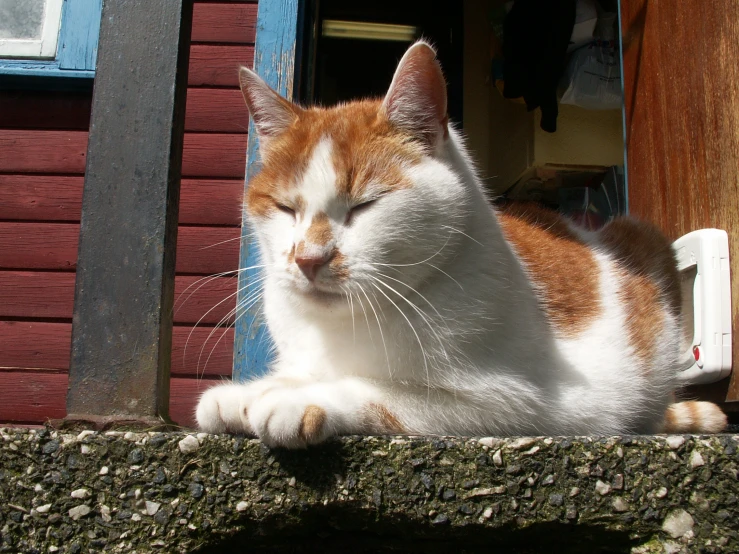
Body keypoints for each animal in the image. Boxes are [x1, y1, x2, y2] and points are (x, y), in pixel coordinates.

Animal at [195, 40, 728, 444]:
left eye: (364, 205)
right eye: (286, 208)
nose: (308, 258)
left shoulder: (522, 404)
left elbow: (383, 393)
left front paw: (296, 398)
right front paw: (249, 392)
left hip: (645, 244)